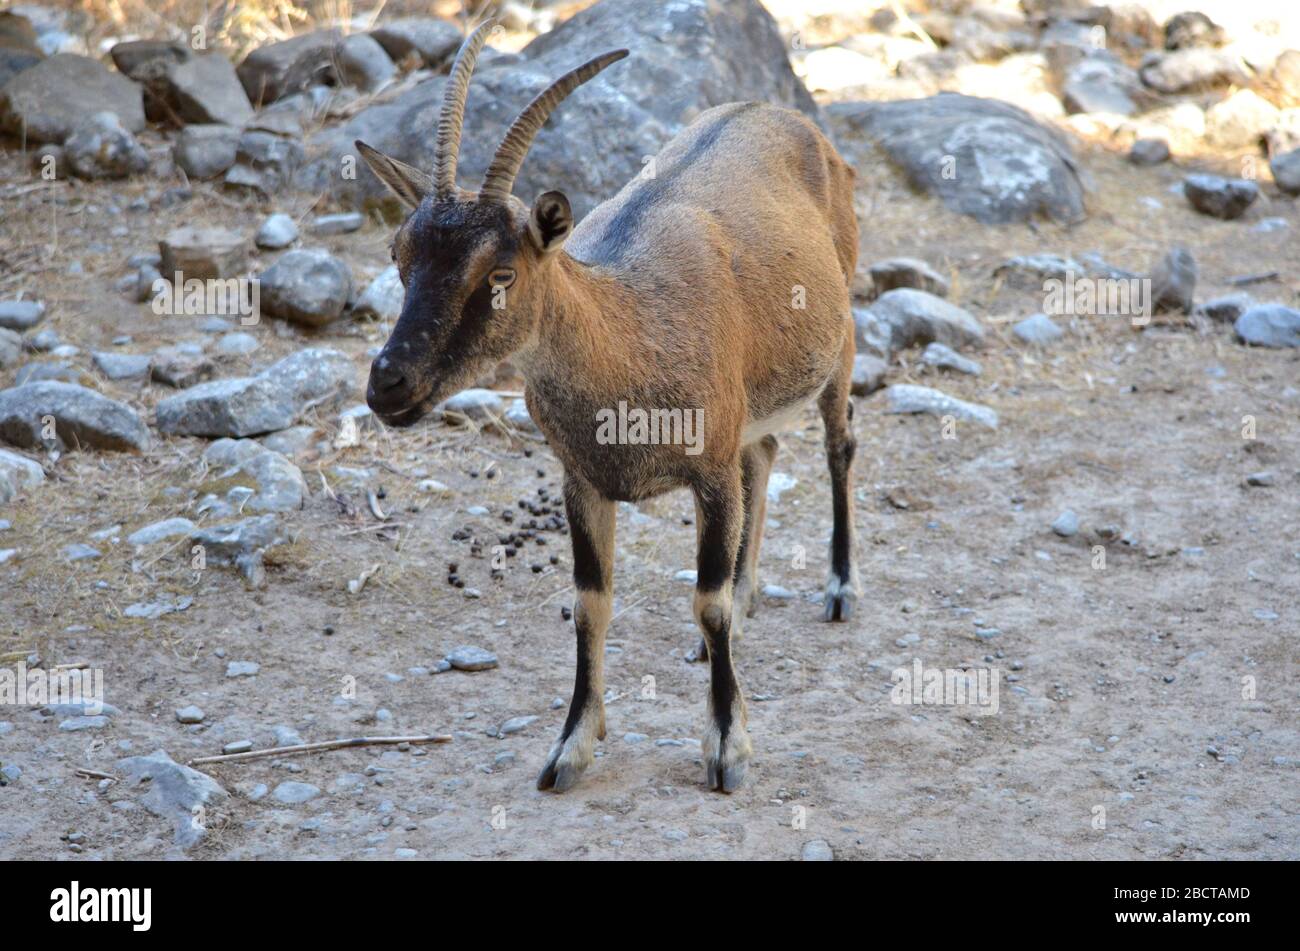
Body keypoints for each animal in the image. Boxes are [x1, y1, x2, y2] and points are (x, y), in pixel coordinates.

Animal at [358, 24, 863, 795]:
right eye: (399, 254)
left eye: (500, 272)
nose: (389, 383)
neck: (630, 332)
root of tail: (780, 114)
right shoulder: (583, 481)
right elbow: (589, 605)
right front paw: (570, 748)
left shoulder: (708, 473)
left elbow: (706, 601)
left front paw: (728, 748)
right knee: (765, 452)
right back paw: (748, 600)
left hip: (842, 335)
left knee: (838, 446)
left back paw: (838, 589)